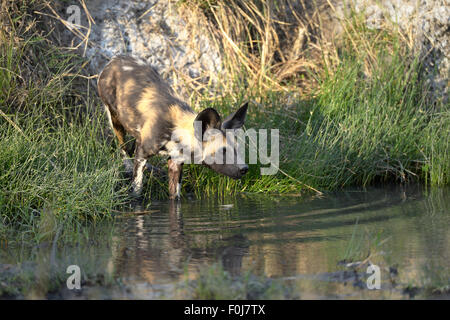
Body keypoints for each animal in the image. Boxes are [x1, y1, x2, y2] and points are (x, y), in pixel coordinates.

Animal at [97, 56, 250, 199]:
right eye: (223, 150)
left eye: (237, 148)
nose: (245, 169)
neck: (177, 131)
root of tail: (115, 59)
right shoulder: (142, 153)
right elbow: (137, 188)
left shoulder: (175, 164)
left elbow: (174, 197)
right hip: (115, 120)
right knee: (122, 146)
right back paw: (127, 166)